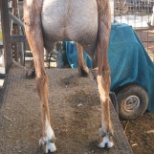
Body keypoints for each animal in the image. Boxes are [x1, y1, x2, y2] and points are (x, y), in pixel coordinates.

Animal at [23, 0, 113, 153]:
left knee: (41, 78)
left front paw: (30, 68)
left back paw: (47, 139)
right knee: (104, 73)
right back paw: (106, 135)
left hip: (31, 20)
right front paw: (83, 68)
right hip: (104, 21)